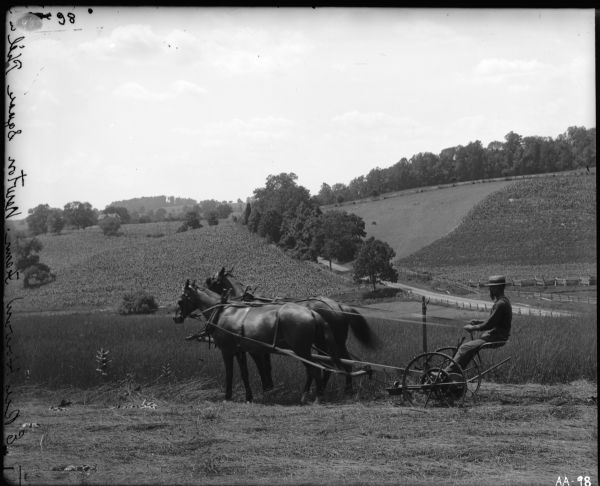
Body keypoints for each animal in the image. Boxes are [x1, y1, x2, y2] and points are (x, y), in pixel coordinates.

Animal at [173, 280, 342, 404]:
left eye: (180, 300)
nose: (176, 318)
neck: (222, 312)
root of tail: (312, 312)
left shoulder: (227, 350)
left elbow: (229, 373)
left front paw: (227, 396)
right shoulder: (240, 350)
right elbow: (244, 373)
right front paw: (249, 397)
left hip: (301, 349)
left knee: (315, 369)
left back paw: (317, 397)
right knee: (316, 369)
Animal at [204, 266, 378, 392]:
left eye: (212, 280)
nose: (204, 284)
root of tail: (338, 306)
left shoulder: (255, 347)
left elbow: (262, 367)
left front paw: (267, 387)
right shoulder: (263, 347)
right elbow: (267, 367)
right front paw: (270, 387)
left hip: (329, 342)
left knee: (340, 364)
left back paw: (342, 389)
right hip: (331, 342)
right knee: (335, 364)